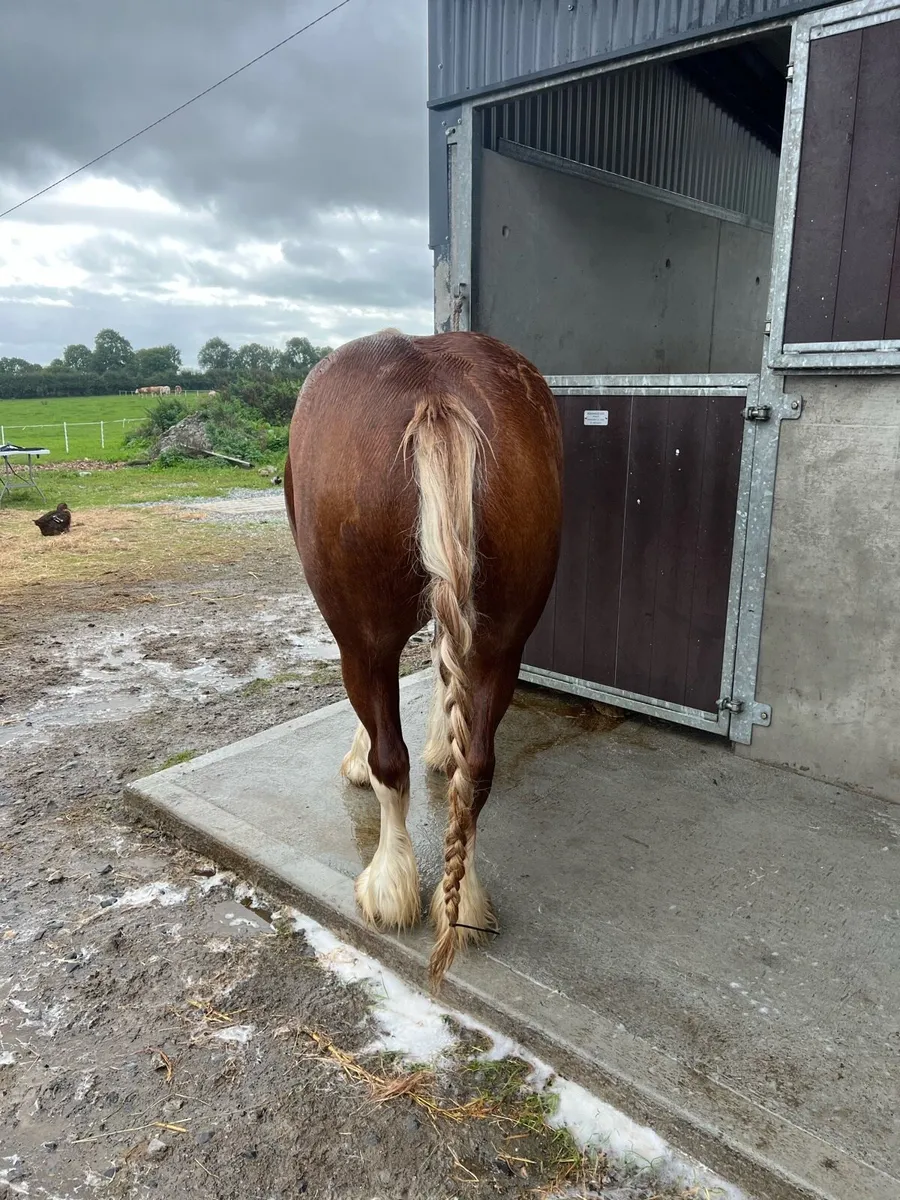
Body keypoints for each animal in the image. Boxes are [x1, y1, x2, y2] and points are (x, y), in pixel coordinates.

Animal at [284, 329, 563, 988]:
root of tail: (433, 392)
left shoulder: (359, 638)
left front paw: (358, 760)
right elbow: (442, 668)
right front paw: (443, 743)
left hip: (363, 636)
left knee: (392, 760)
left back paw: (389, 886)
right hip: (501, 641)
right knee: (478, 767)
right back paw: (466, 902)